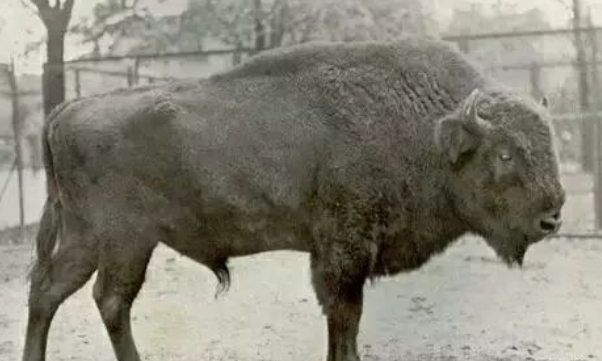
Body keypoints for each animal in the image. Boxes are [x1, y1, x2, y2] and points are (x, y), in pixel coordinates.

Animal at [19, 37, 564, 360]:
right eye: (506, 153)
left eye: (550, 141)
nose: (552, 217)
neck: (430, 130)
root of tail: (65, 111)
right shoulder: (343, 255)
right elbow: (344, 320)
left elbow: (343, 323)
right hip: (124, 241)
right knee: (108, 299)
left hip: (91, 239)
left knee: (50, 292)